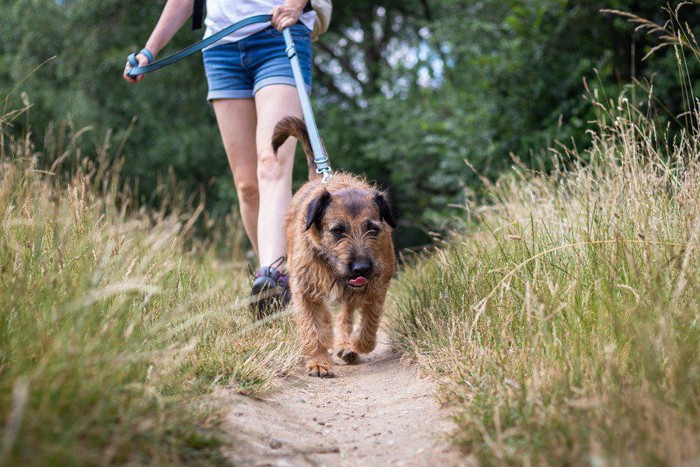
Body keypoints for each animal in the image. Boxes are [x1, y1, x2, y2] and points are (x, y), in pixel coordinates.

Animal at [272, 116, 396, 376]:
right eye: (338, 230)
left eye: (373, 229)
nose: (361, 268)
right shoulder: (304, 289)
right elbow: (311, 326)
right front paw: (318, 361)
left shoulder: (378, 284)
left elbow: (370, 319)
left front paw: (358, 343)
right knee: (327, 317)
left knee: (345, 315)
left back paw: (346, 344)